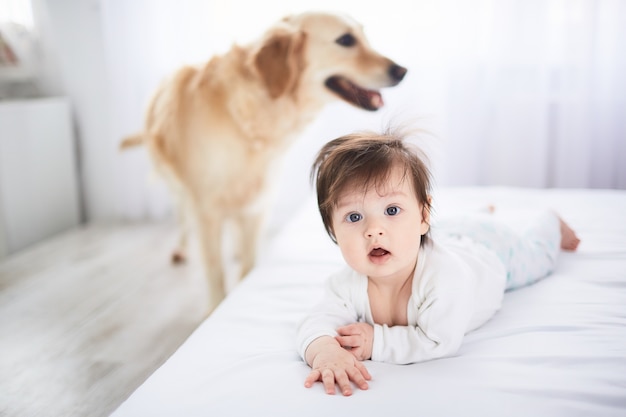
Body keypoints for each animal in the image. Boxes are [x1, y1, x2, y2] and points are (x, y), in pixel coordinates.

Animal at [120, 11, 408, 312]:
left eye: (364, 36)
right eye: (346, 40)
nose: (401, 71)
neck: (251, 114)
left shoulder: (259, 203)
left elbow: (249, 262)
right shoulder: (206, 207)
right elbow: (214, 269)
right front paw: (216, 307)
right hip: (177, 184)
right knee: (182, 215)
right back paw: (181, 247)